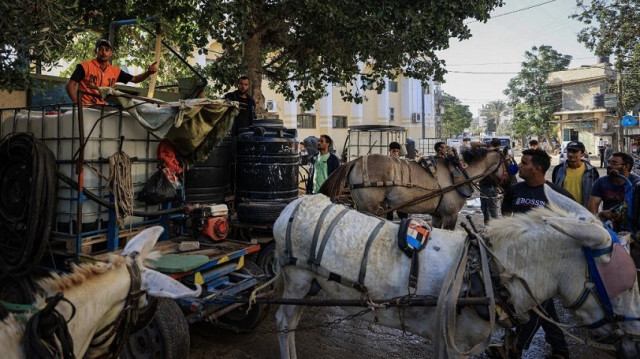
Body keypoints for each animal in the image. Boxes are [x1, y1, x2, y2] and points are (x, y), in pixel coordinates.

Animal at [274, 191, 640, 359]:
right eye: (624, 285)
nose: (635, 343)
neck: (490, 272)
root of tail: (297, 204)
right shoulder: (458, 341)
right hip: (296, 279)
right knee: (284, 322)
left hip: (308, 284)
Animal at [320, 147, 516, 229]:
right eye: (509, 163)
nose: (512, 184)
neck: (461, 171)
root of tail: (355, 161)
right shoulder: (450, 214)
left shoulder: (437, 215)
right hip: (369, 207)